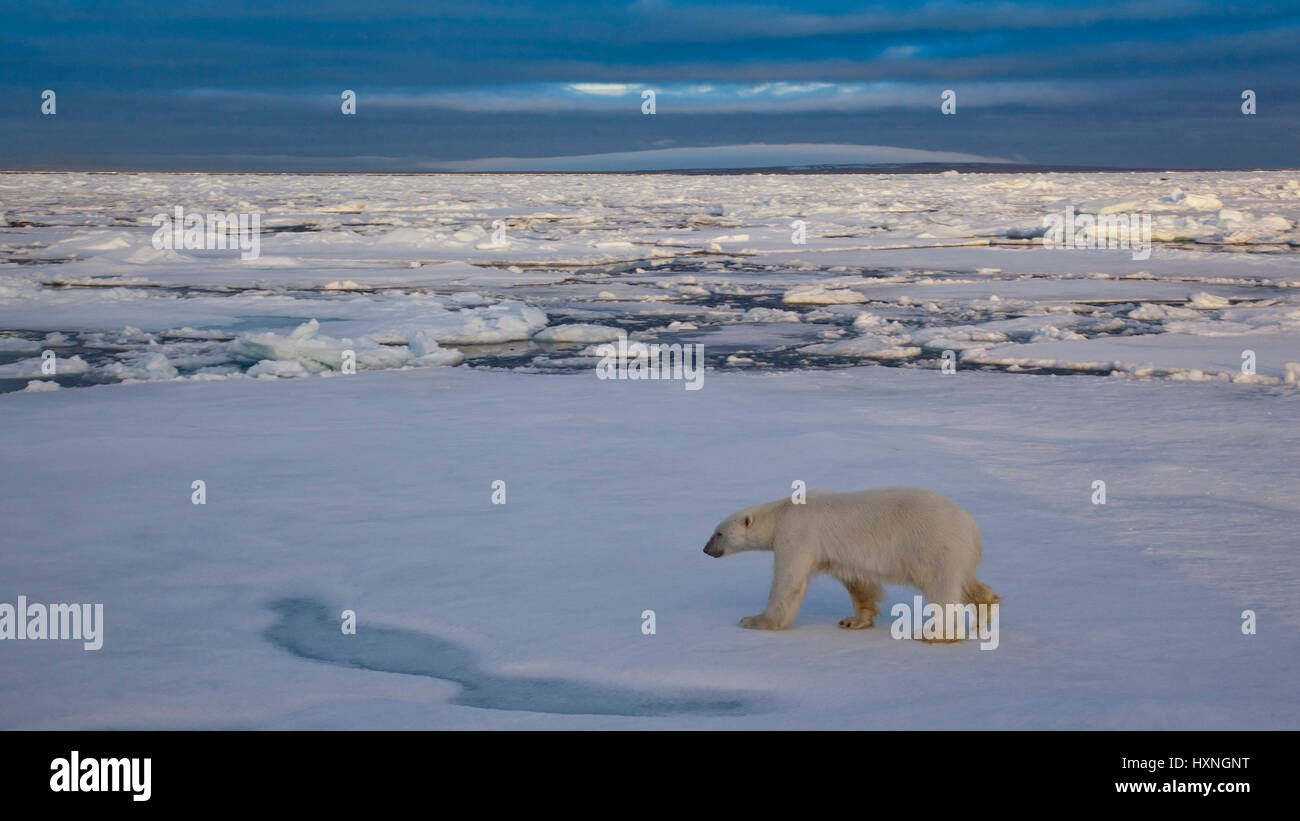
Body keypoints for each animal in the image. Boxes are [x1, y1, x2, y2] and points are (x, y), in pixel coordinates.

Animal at [702, 488, 993, 633]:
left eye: (719, 533)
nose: (705, 550)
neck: (783, 510)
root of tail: (972, 526)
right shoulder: (838, 555)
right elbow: (858, 582)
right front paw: (854, 621)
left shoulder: (797, 534)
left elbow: (788, 584)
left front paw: (754, 620)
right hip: (957, 553)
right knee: (968, 582)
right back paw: (986, 610)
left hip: (933, 544)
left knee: (942, 588)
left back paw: (935, 632)